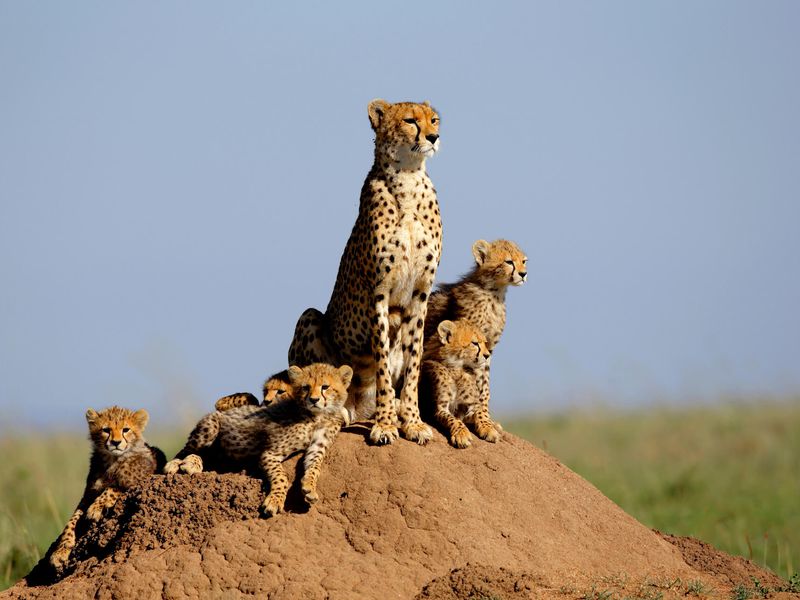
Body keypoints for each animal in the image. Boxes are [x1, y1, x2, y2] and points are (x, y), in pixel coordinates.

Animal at [288, 99, 440, 446]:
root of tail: (359, 408)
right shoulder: (378, 293)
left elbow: (413, 362)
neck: (409, 177)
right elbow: (381, 362)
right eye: (410, 121)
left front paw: (412, 421)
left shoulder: (420, 294)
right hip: (309, 317)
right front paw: (385, 424)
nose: (434, 137)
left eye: (435, 119)